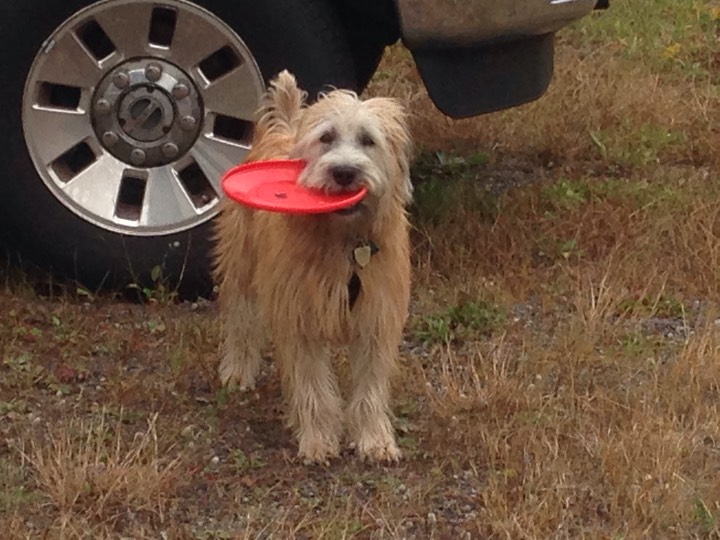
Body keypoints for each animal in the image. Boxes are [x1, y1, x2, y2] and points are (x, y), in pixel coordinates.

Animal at [212, 69, 410, 462]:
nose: (344, 172)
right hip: (242, 264)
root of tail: (283, 128)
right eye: (327, 137)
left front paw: (374, 440)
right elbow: (312, 386)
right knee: (242, 318)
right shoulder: (300, 317)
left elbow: (370, 386)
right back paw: (238, 370)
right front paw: (318, 440)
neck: (345, 242)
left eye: (368, 140)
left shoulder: (376, 317)